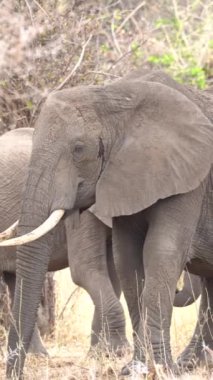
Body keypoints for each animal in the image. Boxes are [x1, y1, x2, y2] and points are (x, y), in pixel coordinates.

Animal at [1, 69, 213, 378]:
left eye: (78, 149)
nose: (14, 373)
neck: (114, 97)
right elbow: (124, 261)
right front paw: (131, 365)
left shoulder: (190, 176)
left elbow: (159, 254)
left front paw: (157, 367)